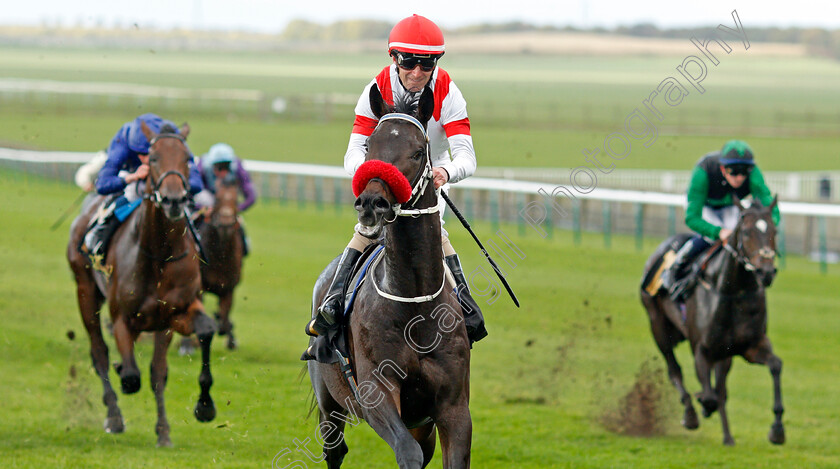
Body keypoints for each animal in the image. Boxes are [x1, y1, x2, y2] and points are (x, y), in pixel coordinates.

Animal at [67, 121, 217, 446]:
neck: (159, 254)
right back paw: (113, 415)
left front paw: (196, 411)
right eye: (154, 157)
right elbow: (131, 376)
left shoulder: (172, 315)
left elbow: (165, 367)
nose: (174, 200)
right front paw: (122, 376)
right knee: (99, 352)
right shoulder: (122, 316)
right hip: (85, 291)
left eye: (187, 159)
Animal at [306, 85, 472, 468]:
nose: (372, 202)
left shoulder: (454, 407)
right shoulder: (376, 391)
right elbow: (406, 452)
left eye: (418, 151)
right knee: (334, 449)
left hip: (421, 423)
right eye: (370, 147)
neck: (415, 303)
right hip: (329, 400)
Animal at [640, 196, 784, 444]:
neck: (733, 291)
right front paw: (703, 406)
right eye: (746, 232)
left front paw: (777, 429)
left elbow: (775, 366)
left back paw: (728, 437)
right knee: (674, 370)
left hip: (724, 353)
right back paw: (690, 415)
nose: (766, 272)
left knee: (721, 387)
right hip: (657, 324)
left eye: (774, 230)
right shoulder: (702, 349)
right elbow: (709, 395)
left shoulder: (751, 346)